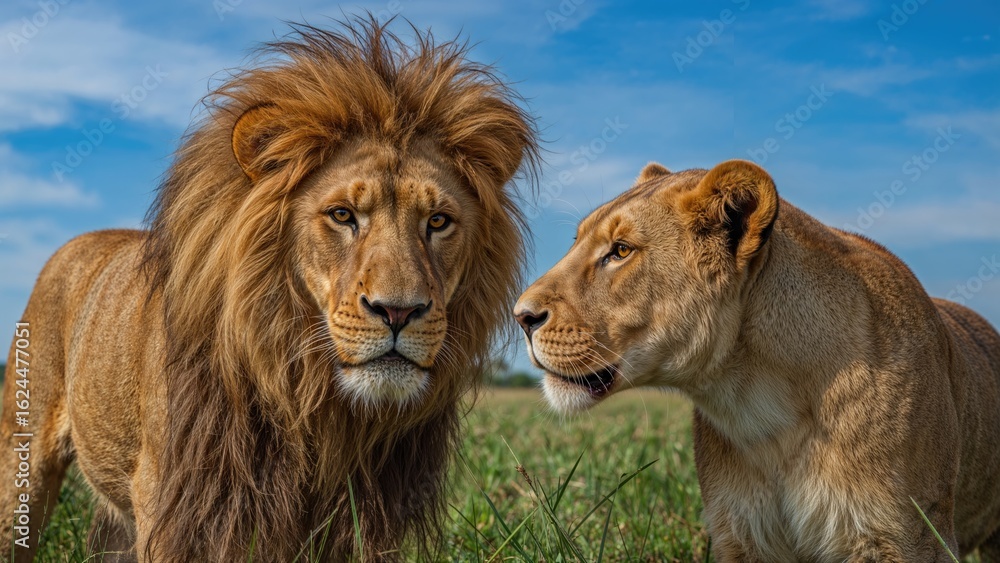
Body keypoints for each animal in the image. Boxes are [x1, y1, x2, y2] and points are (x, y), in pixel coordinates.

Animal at [0, 18, 538, 562]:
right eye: (343, 215)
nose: (398, 312)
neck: (310, 401)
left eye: (438, 221)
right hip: (23, 459)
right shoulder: (175, 504)